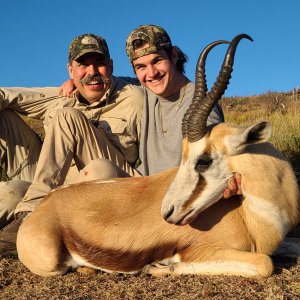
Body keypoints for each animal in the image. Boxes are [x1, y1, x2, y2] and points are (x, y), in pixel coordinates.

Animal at [17, 34, 300, 278]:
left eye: (203, 160)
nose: (168, 213)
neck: (252, 216)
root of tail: (43, 206)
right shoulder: (201, 251)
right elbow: (265, 263)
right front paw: (159, 266)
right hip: (51, 262)